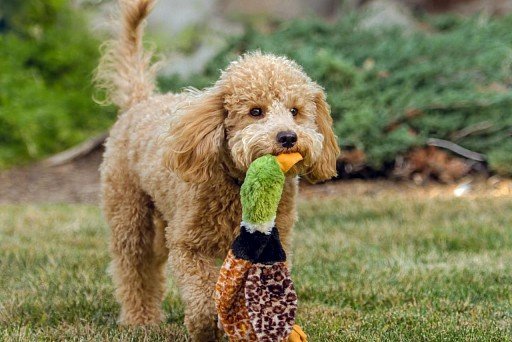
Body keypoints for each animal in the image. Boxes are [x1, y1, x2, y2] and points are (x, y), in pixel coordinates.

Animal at [95, 0, 340, 340]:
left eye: (295, 111)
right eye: (255, 111)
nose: (288, 137)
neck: (238, 184)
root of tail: (140, 102)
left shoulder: (270, 243)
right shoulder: (187, 243)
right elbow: (201, 295)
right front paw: (206, 325)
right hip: (128, 211)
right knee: (134, 266)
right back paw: (140, 318)